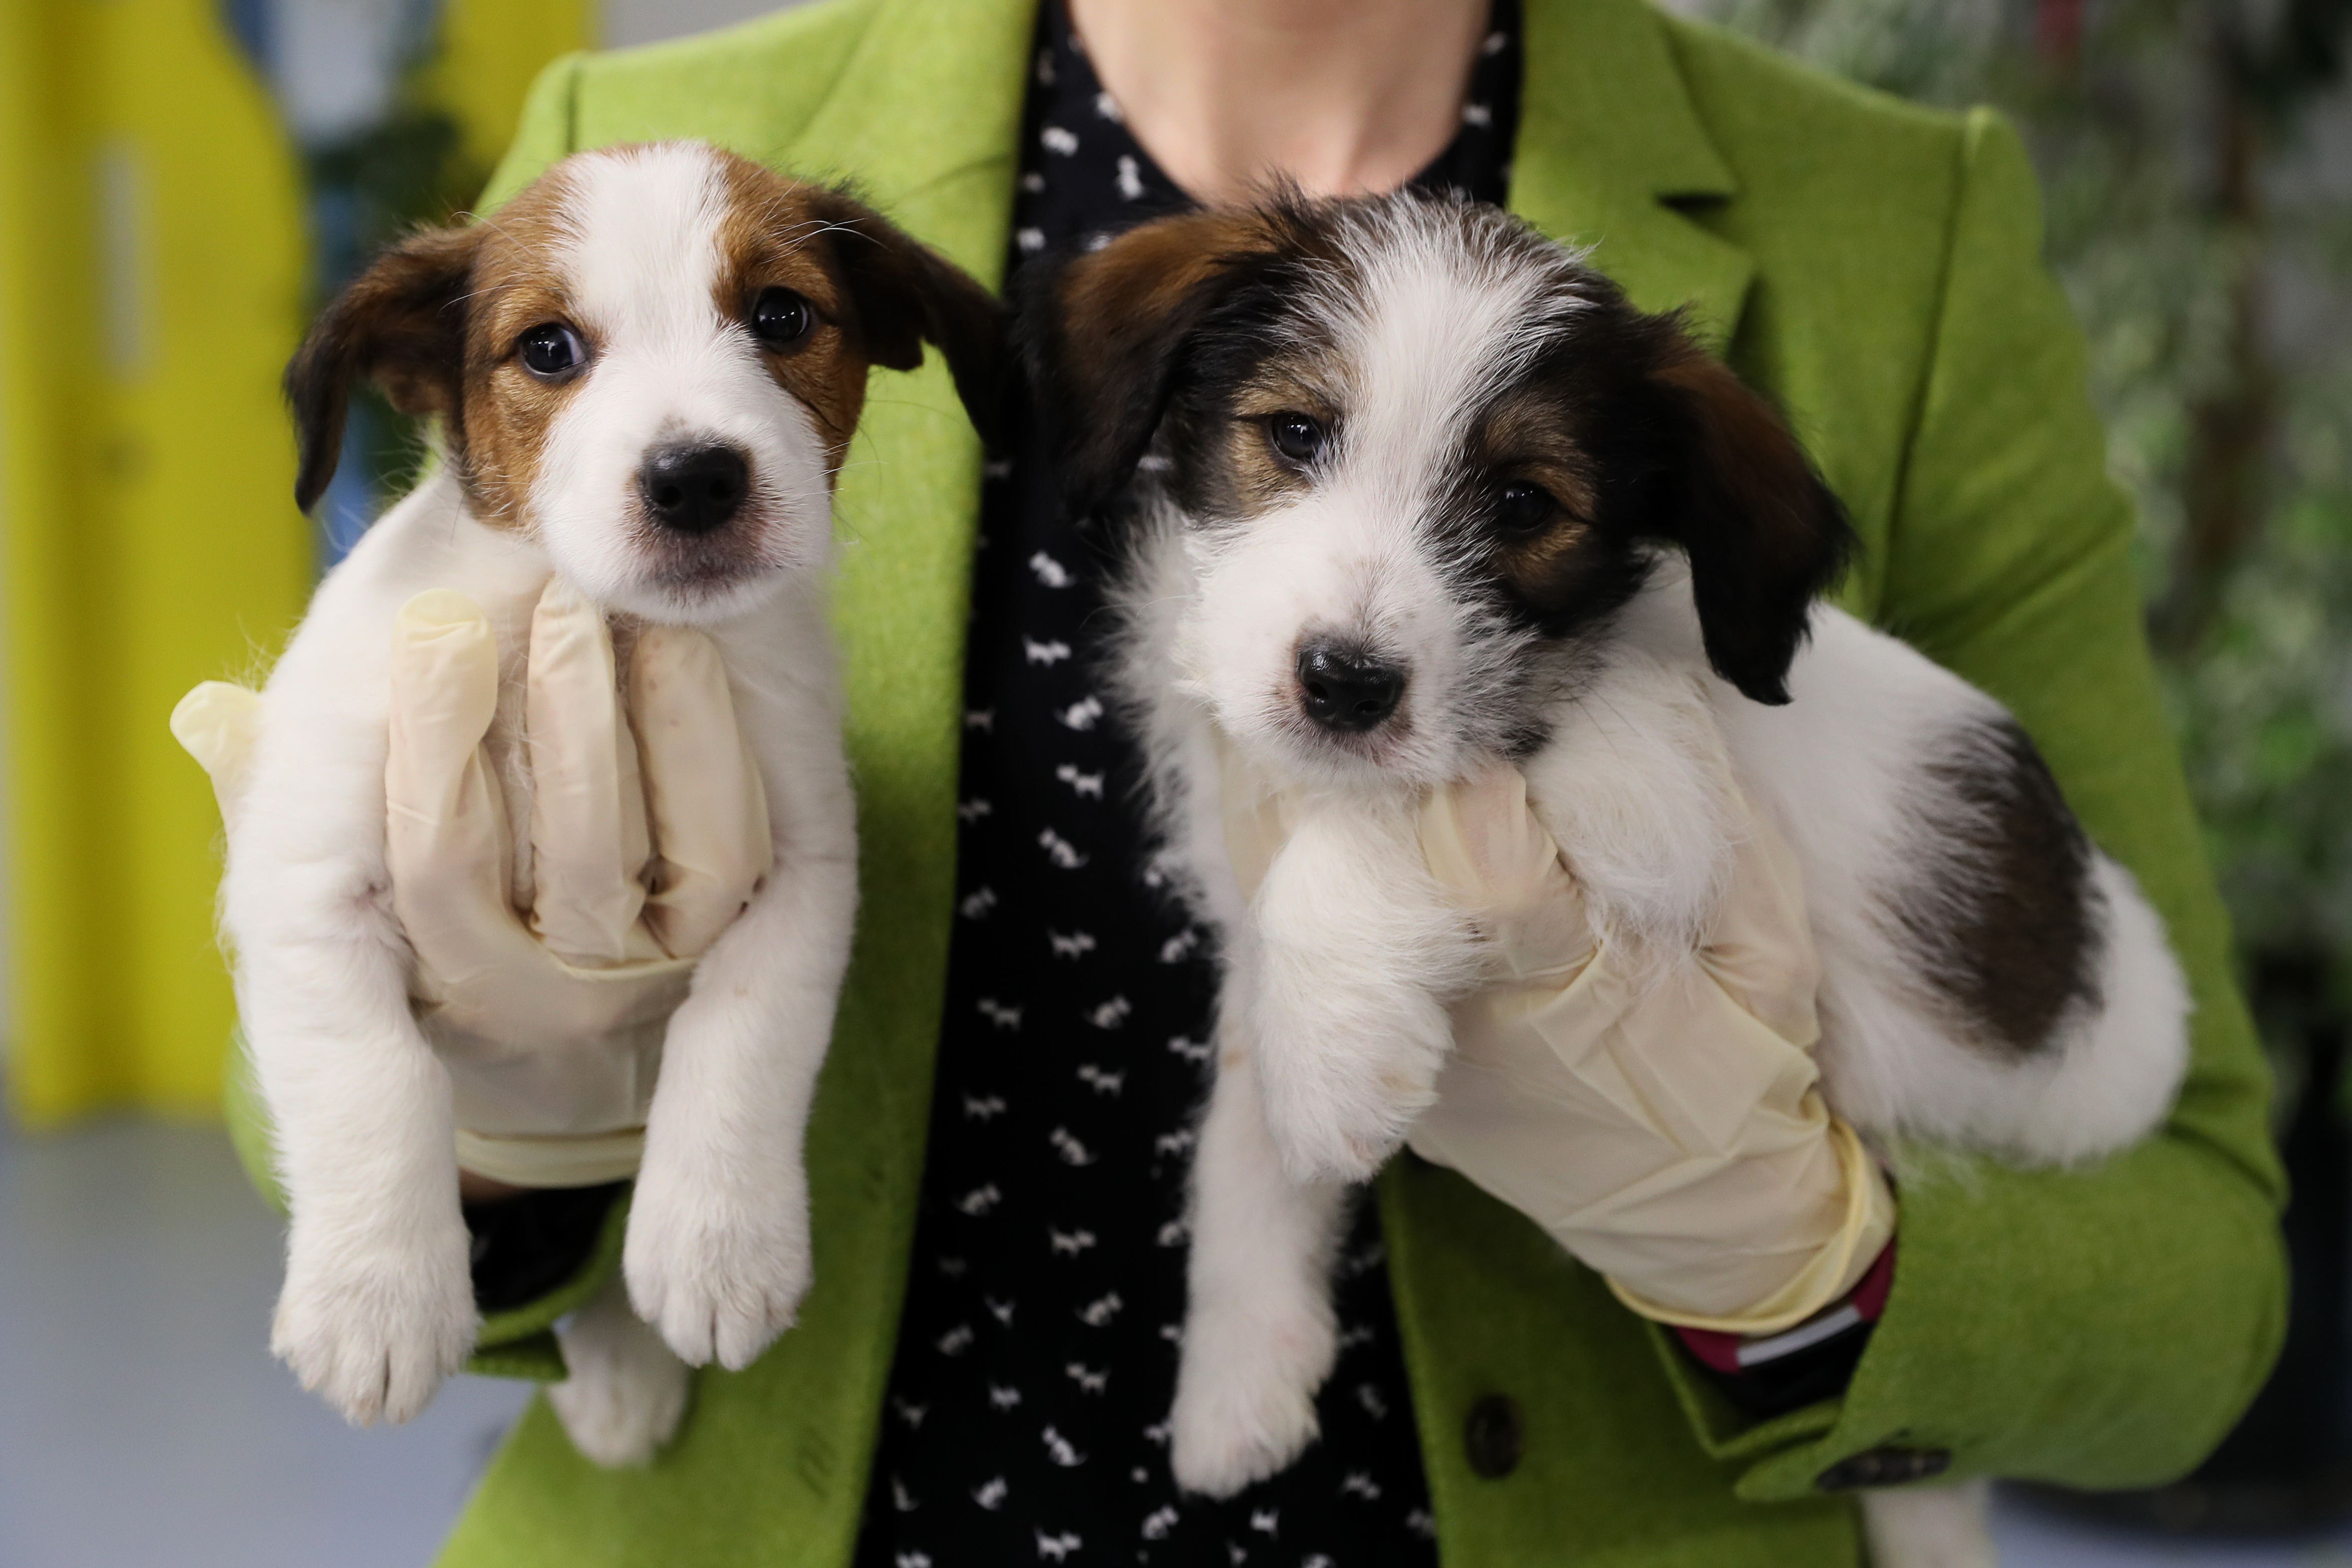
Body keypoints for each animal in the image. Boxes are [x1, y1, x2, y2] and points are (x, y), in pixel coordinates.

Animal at [229, 141, 1011, 1467]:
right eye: (547, 348)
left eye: (780, 315)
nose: (695, 478)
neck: (601, 627)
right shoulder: (302, 882)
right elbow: (371, 1077)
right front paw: (375, 1299)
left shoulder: (800, 873)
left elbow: (740, 1039)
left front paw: (716, 1245)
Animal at [1021, 190, 2192, 1560]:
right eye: (1295, 434)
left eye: (1524, 503)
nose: (1344, 683)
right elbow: (1239, 1133)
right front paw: (1240, 1367)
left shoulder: (1640, 811)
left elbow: (1391, 814)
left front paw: (1326, 1067)